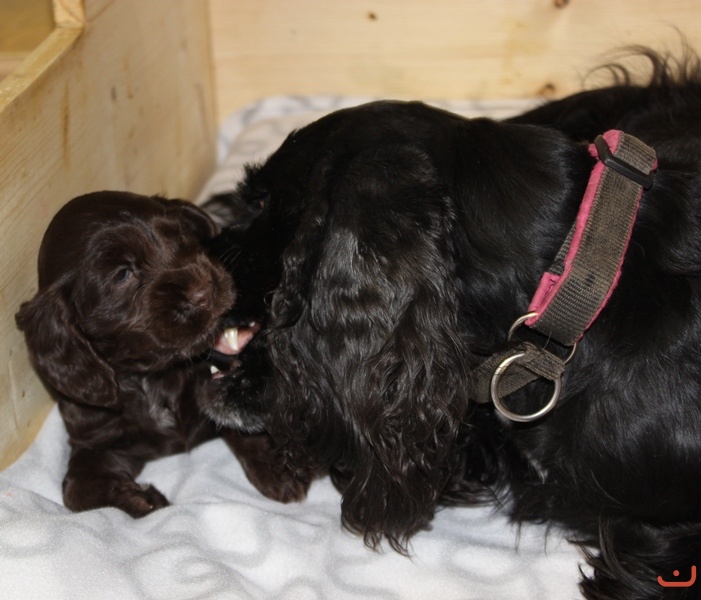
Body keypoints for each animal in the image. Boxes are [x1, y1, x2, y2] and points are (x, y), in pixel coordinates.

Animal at [16, 191, 298, 517]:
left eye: (182, 236)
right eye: (123, 274)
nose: (205, 290)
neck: (151, 376)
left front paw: (276, 467)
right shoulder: (95, 437)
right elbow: (74, 492)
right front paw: (140, 499)